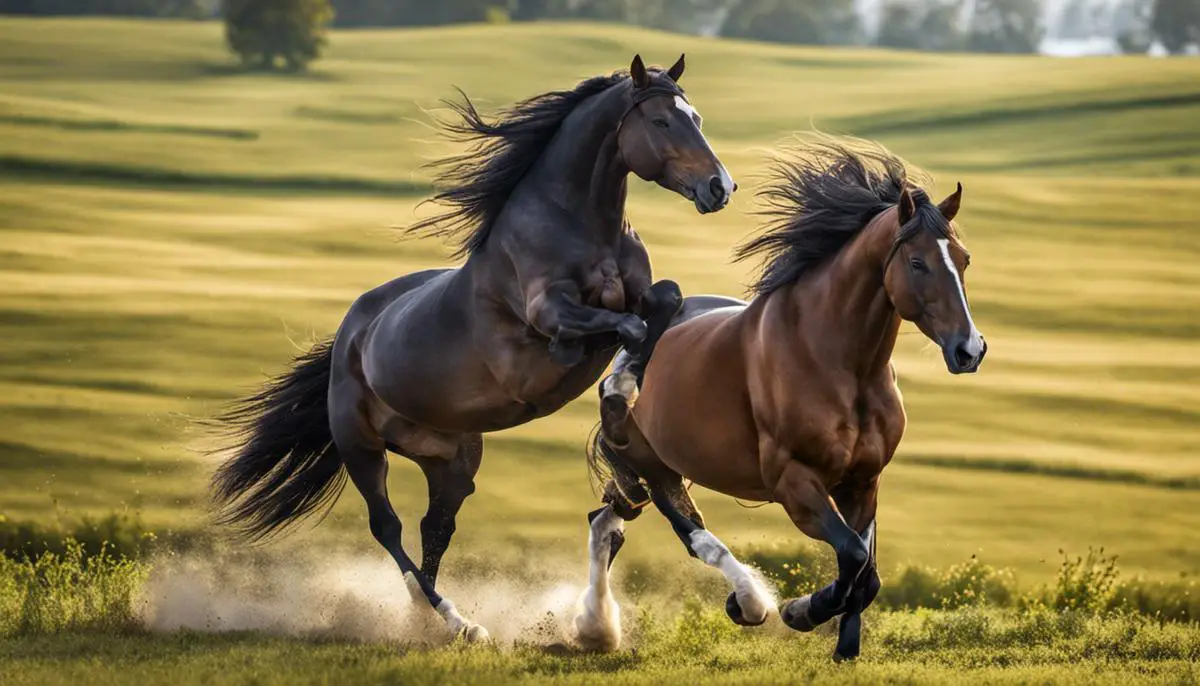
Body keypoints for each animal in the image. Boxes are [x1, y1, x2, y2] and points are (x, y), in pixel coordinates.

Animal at [208, 56, 729, 642]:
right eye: (663, 121)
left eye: (696, 117)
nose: (719, 186)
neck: (576, 227)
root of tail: (350, 332)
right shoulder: (548, 334)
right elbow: (628, 328)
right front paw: (621, 392)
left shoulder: (639, 296)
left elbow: (663, 301)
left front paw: (628, 391)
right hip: (361, 447)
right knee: (388, 528)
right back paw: (455, 620)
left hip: (451, 460)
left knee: (435, 528)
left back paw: (435, 622)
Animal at [578, 137, 984, 657]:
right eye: (917, 262)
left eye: (964, 258)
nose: (970, 349)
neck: (839, 364)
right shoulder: (795, 482)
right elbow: (853, 556)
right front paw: (801, 611)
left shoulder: (863, 481)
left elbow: (867, 577)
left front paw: (844, 650)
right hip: (654, 466)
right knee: (689, 531)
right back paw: (743, 602)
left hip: (651, 472)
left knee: (607, 519)